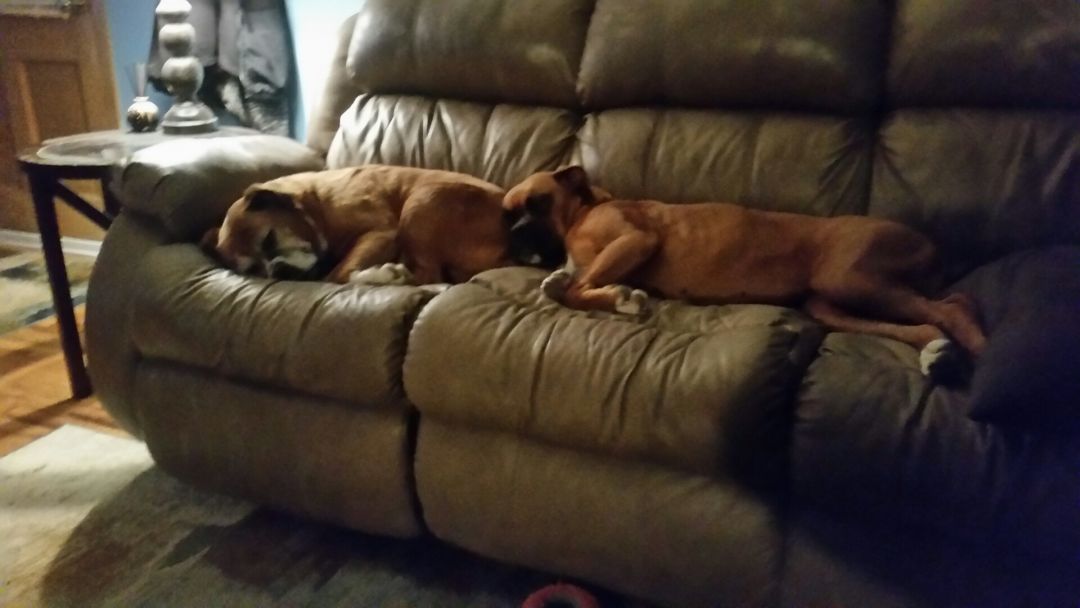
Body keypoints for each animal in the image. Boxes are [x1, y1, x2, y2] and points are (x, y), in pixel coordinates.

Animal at [202, 165, 563, 285]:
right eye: (252, 270)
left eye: (269, 238)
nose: (277, 271)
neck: (315, 206)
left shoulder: (381, 233)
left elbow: (339, 275)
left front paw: (377, 274)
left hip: (423, 200)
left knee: (428, 277)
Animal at [503, 166, 988, 377]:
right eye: (507, 213)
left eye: (538, 202)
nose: (516, 235)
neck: (584, 209)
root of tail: (932, 245)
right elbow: (570, 284)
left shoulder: (637, 240)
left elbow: (579, 287)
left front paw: (619, 298)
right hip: (830, 303)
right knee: (928, 320)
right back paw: (937, 354)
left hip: (850, 278)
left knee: (952, 306)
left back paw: (978, 350)